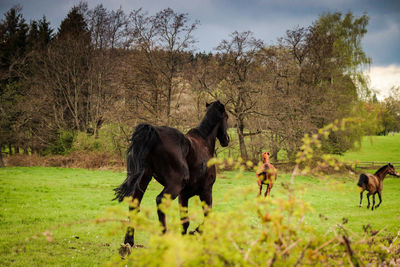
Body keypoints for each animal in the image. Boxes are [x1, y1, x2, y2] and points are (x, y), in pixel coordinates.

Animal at [114, 101, 230, 249]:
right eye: (226, 117)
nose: (227, 139)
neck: (204, 143)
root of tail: (154, 132)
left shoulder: (183, 196)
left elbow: (185, 222)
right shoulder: (206, 191)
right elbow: (208, 216)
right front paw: (194, 233)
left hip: (143, 180)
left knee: (135, 205)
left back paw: (129, 241)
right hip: (175, 185)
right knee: (160, 200)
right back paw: (163, 237)